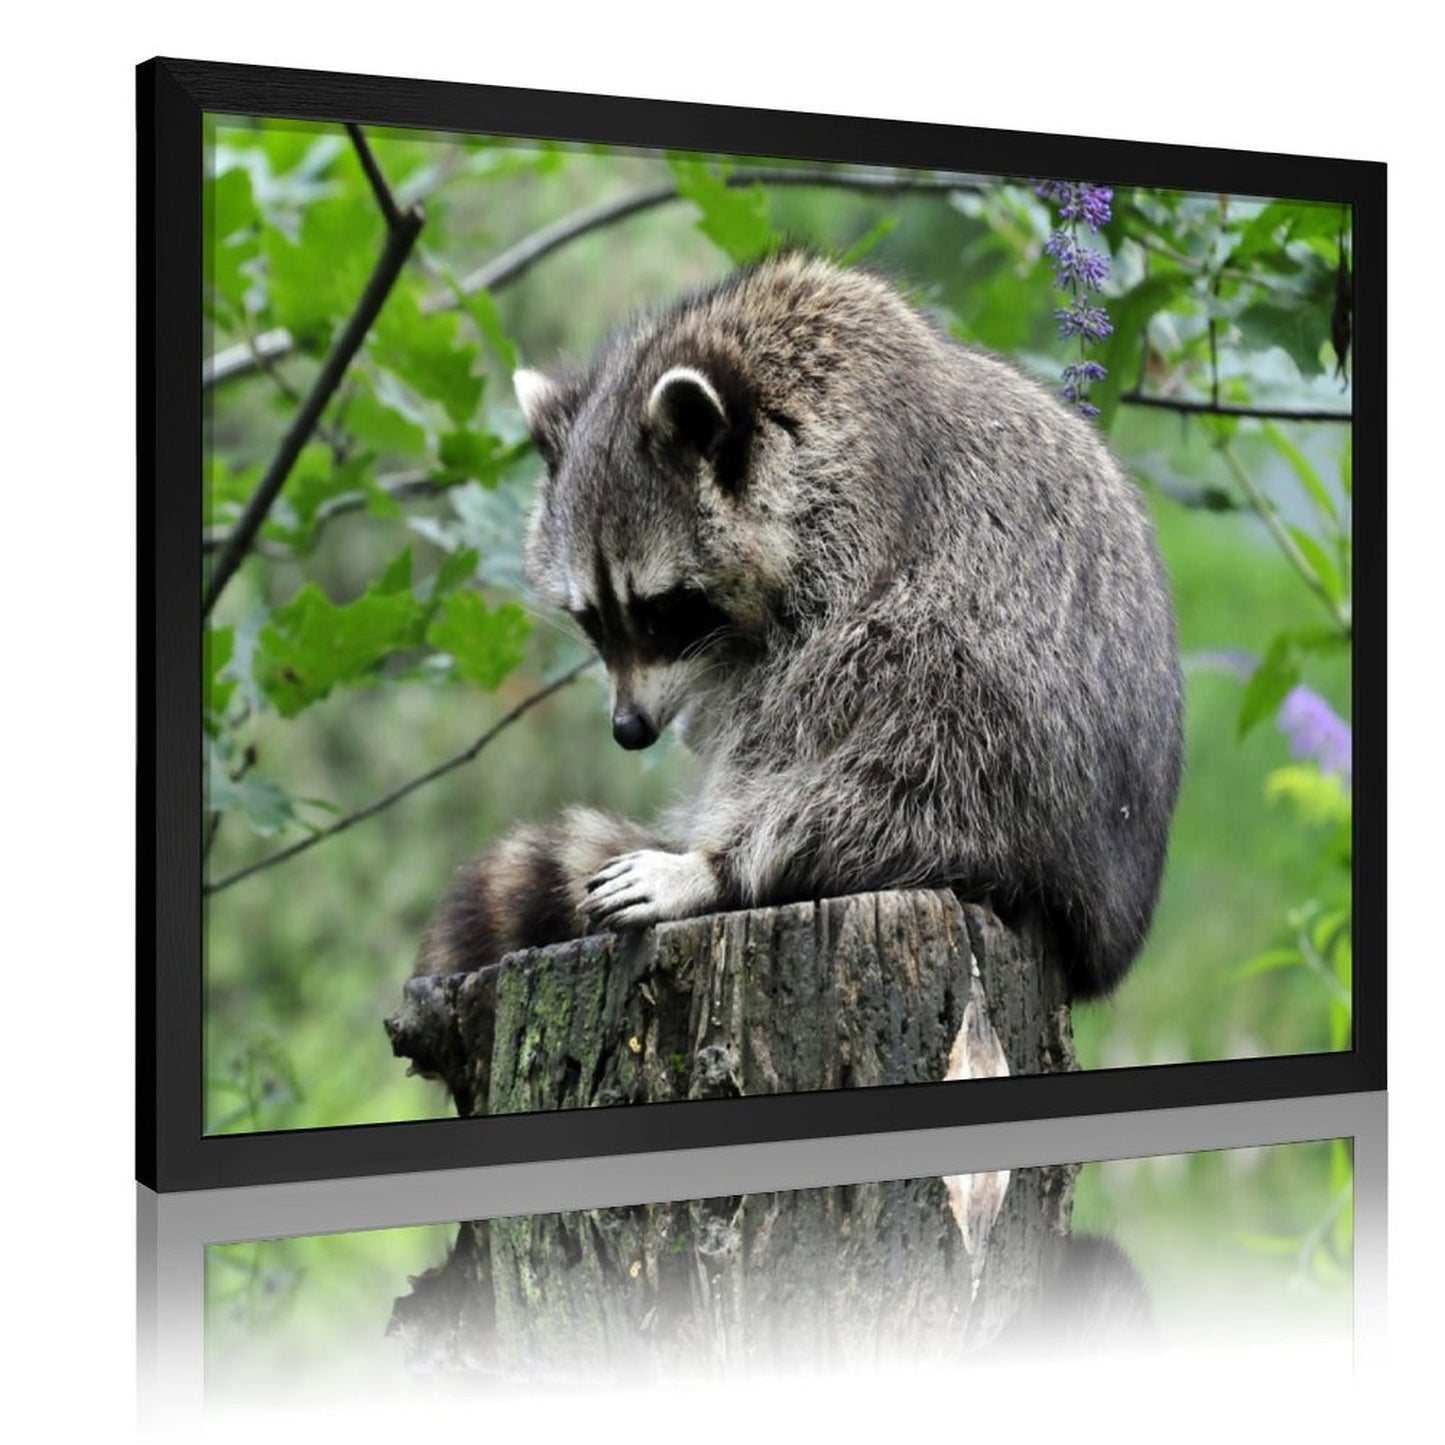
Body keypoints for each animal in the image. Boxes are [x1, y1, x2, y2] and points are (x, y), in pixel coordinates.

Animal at [416, 255, 1183, 998]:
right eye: (592, 618)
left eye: (664, 611)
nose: (629, 729)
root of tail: (1109, 926)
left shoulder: (860, 517)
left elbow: (794, 707)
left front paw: (716, 858)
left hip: (1012, 738)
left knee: (918, 726)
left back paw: (728, 863)